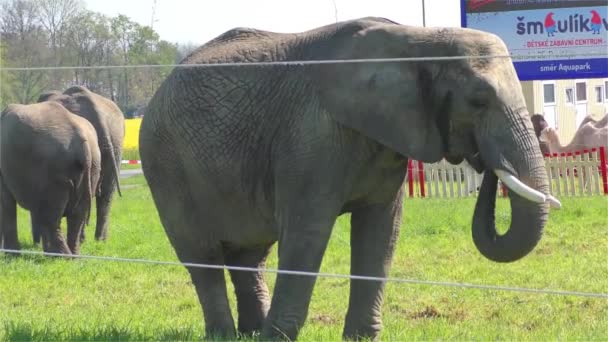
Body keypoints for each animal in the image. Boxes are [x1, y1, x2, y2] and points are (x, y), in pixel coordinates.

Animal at [0, 100, 101, 255]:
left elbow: (6, 201)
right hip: (92, 170)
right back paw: (72, 256)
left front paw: (11, 256)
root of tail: (82, 144)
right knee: (77, 216)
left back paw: (60, 257)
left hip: (53, 172)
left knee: (51, 218)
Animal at [138, 17, 560, 340]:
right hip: (166, 165)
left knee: (250, 255)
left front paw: (360, 338)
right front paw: (279, 338)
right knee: (203, 257)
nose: (484, 161)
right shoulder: (311, 135)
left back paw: (251, 333)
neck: (417, 38)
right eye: (478, 100)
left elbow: (381, 231)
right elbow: (307, 232)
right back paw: (226, 335)